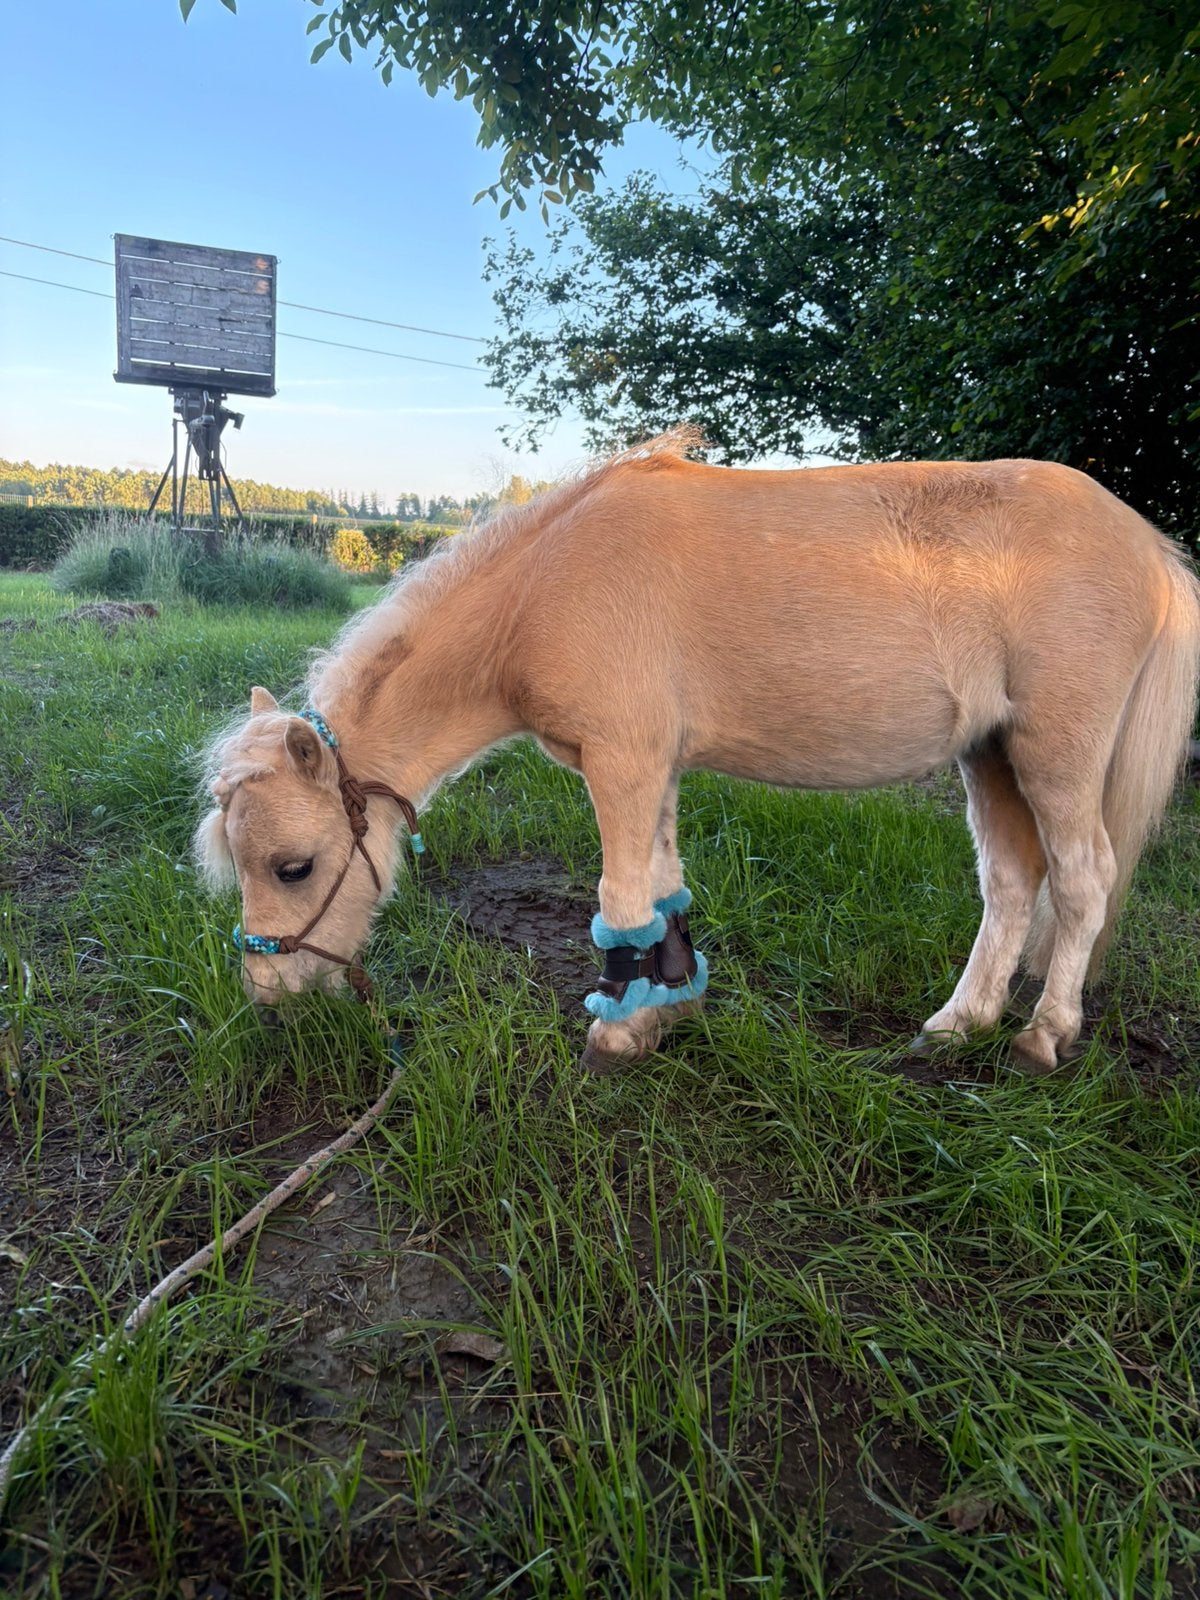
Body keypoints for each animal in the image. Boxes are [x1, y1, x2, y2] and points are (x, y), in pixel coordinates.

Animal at [195, 429, 1200, 1074]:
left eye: (294, 866)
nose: (267, 992)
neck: (545, 583)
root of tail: (1151, 547)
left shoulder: (623, 763)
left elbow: (620, 900)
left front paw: (613, 1039)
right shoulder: (655, 768)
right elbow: (663, 894)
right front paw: (669, 1010)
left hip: (1056, 754)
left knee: (1082, 881)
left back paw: (1043, 1036)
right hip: (990, 756)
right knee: (1012, 884)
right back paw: (960, 1024)